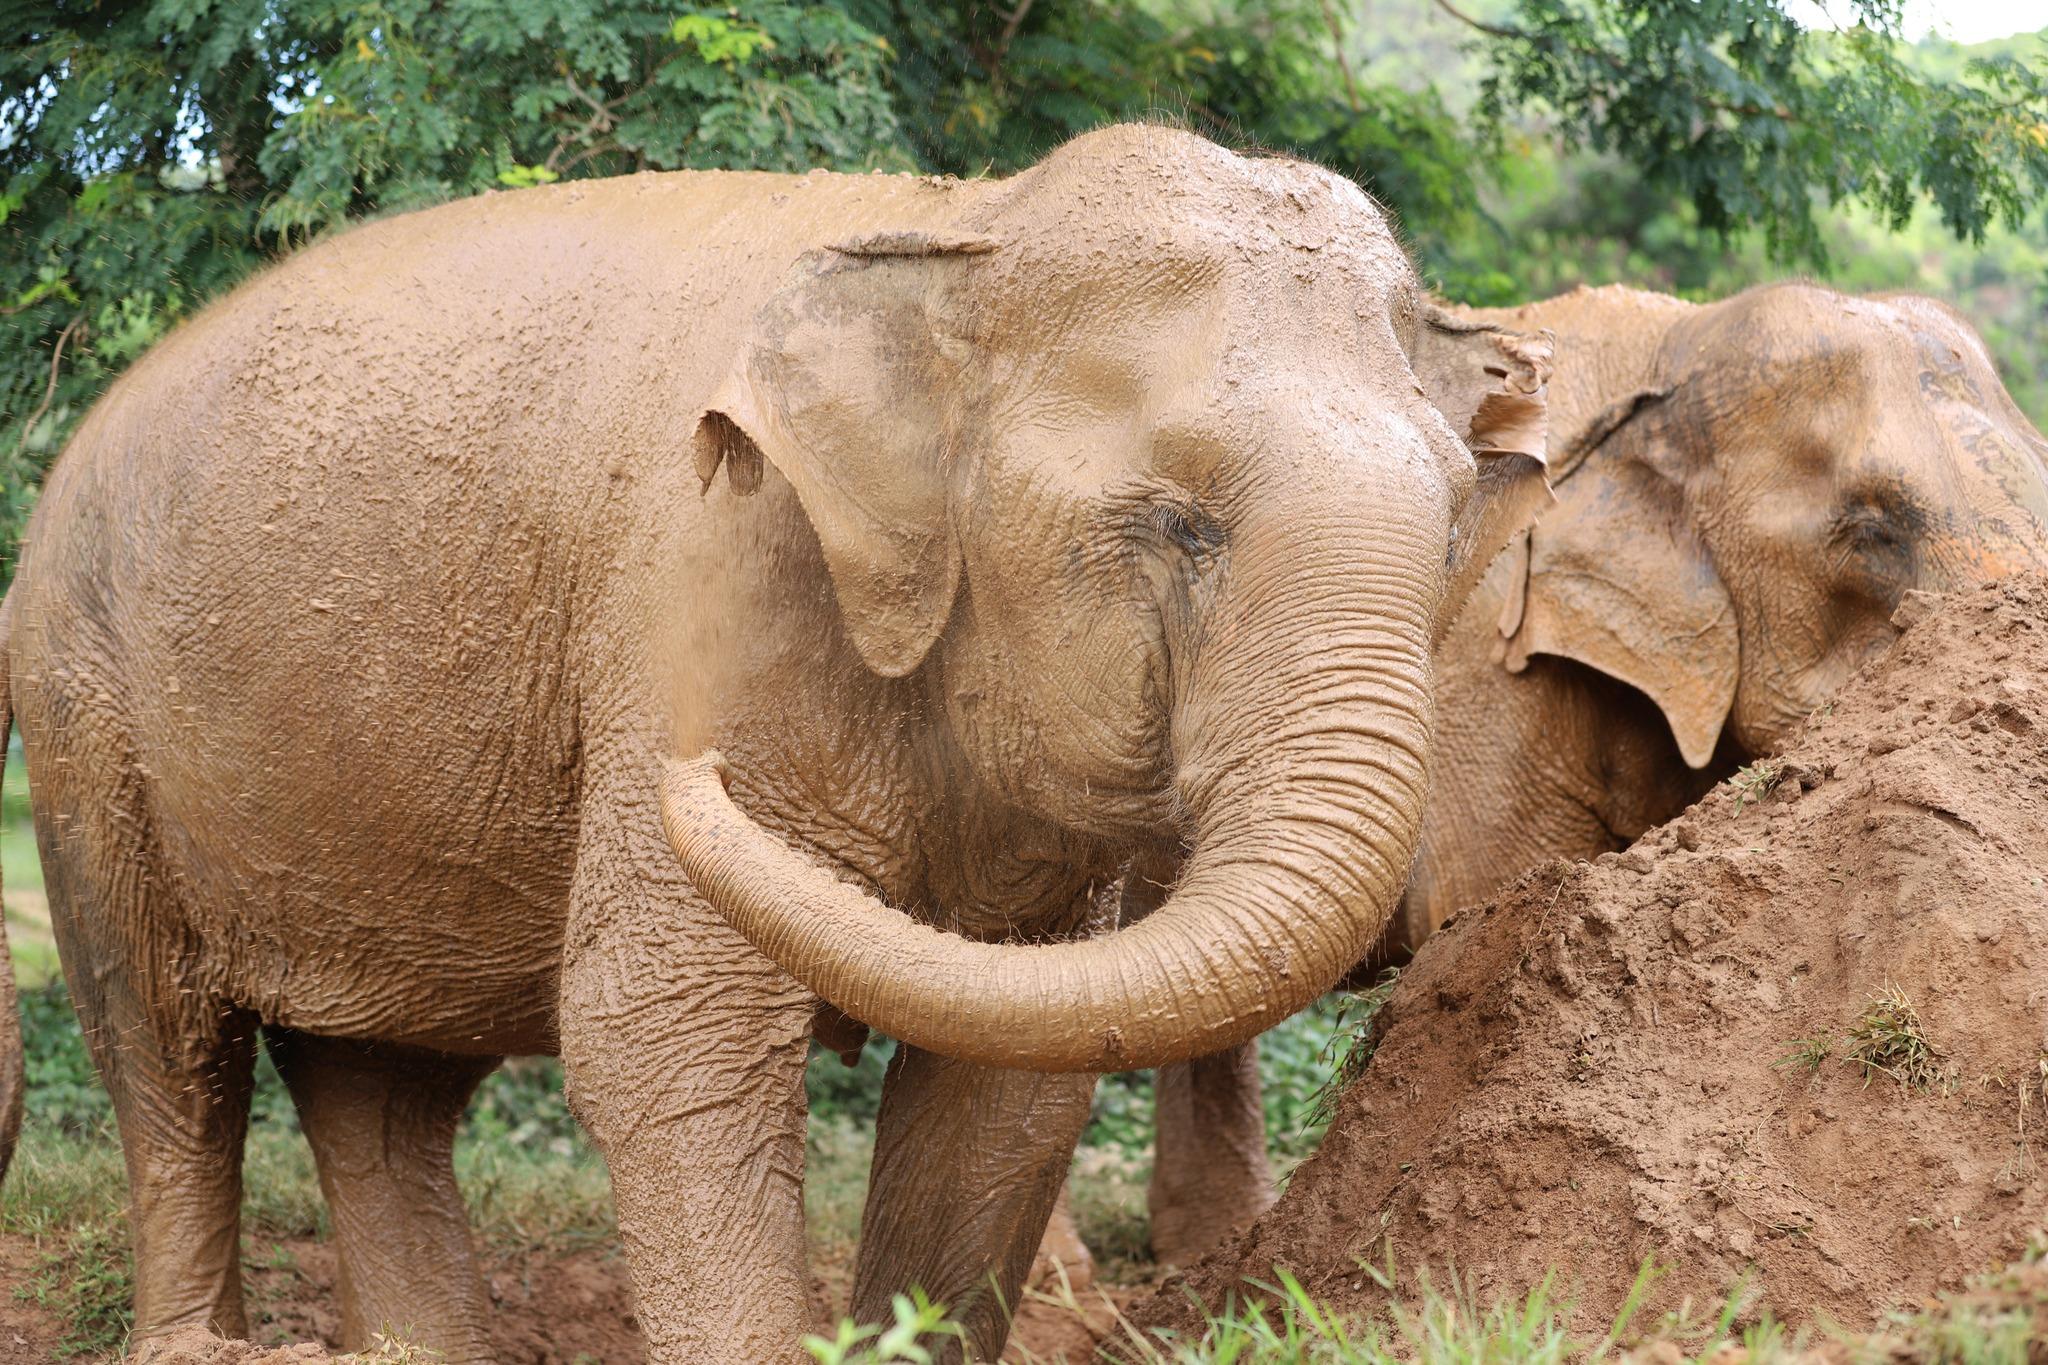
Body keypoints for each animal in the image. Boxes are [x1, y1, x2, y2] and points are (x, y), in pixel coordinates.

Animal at [0, 125, 1554, 1363]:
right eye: (1180, 525)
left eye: (1454, 522)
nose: (691, 783)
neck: (969, 220)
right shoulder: (697, 589)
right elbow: (660, 1033)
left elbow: (1008, 1091)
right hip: (80, 707)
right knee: (165, 1038)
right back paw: (195, 1341)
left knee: (380, 1080)